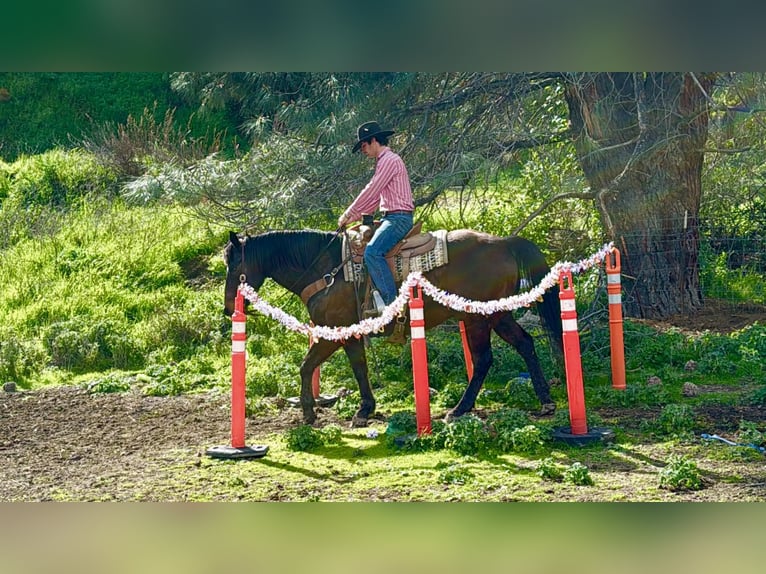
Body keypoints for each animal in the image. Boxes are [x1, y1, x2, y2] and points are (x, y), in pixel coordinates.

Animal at [223, 228, 563, 427]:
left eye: (234, 264)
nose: (228, 308)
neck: (325, 269)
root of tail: (504, 243)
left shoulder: (334, 332)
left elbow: (306, 366)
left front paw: (309, 412)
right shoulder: (349, 334)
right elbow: (359, 367)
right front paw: (365, 409)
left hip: (478, 319)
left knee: (483, 360)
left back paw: (459, 409)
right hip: (495, 315)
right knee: (525, 343)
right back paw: (545, 401)